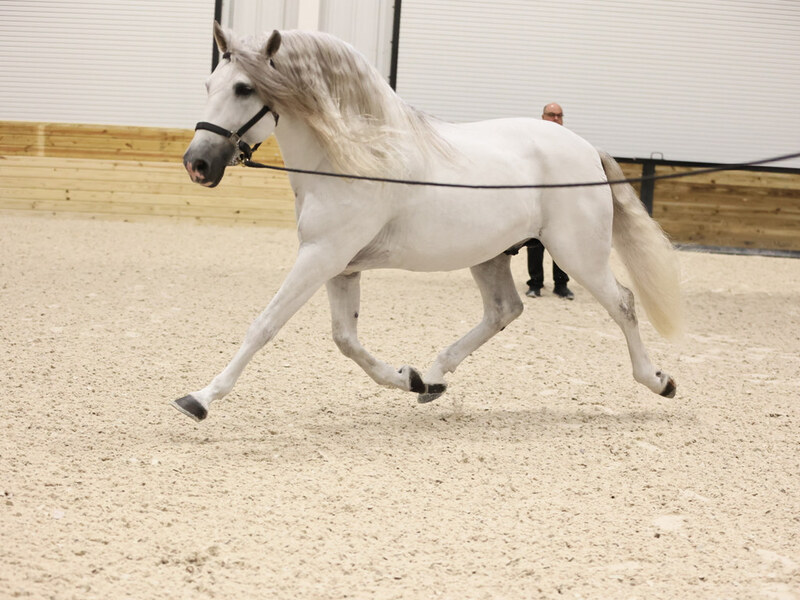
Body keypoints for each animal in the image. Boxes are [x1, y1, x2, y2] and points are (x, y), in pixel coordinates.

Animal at [174, 22, 684, 422]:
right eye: (208, 85)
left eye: (244, 88)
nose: (196, 164)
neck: (352, 156)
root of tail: (585, 148)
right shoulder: (341, 266)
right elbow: (346, 340)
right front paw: (409, 378)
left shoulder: (321, 257)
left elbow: (264, 325)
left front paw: (201, 399)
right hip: (491, 255)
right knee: (504, 311)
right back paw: (434, 378)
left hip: (578, 253)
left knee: (622, 304)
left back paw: (659, 381)